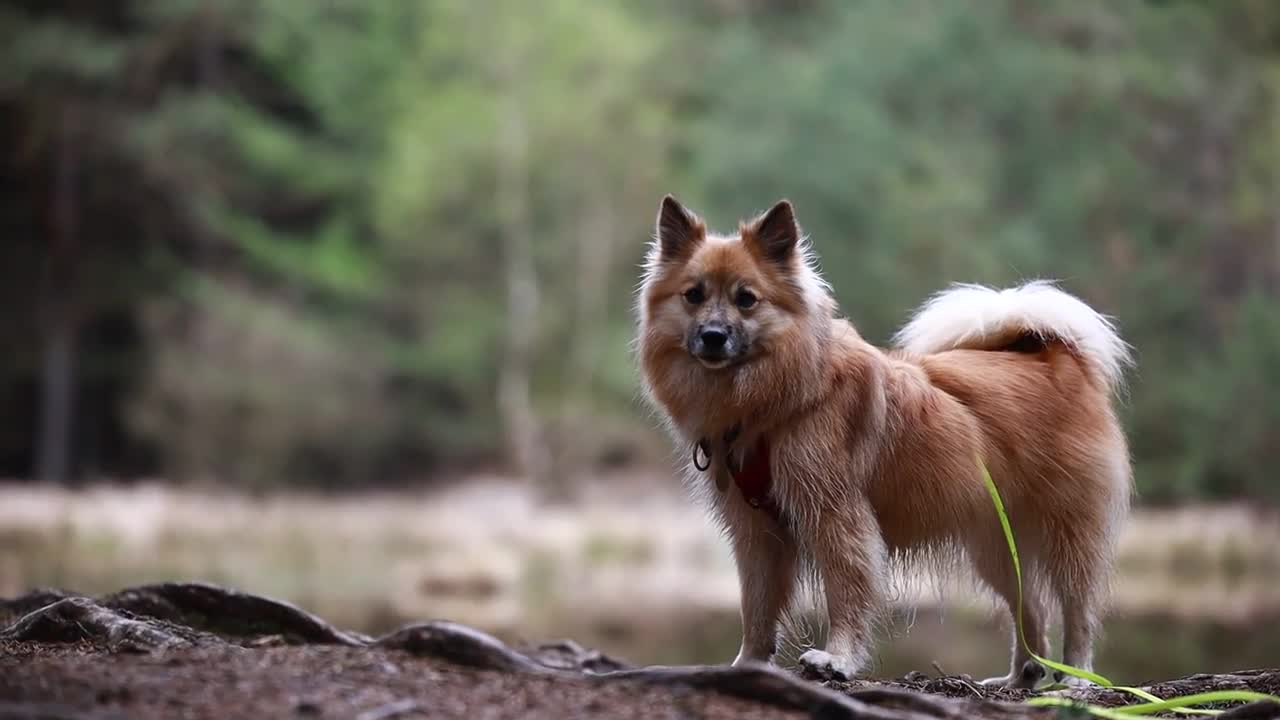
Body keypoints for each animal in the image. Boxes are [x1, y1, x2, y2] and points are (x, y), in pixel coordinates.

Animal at [637, 194, 1131, 681]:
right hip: (995, 546)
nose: (713, 336)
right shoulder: (757, 532)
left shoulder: (836, 516)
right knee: (1032, 608)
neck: (777, 401)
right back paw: (1021, 675)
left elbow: (845, 592)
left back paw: (1074, 677)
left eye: (746, 300)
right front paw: (748, 665)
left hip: (1068, 533)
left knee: (1077, 610)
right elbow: (756, 608)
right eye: (694, 295)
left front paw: (837, 659)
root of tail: (1050, 356)